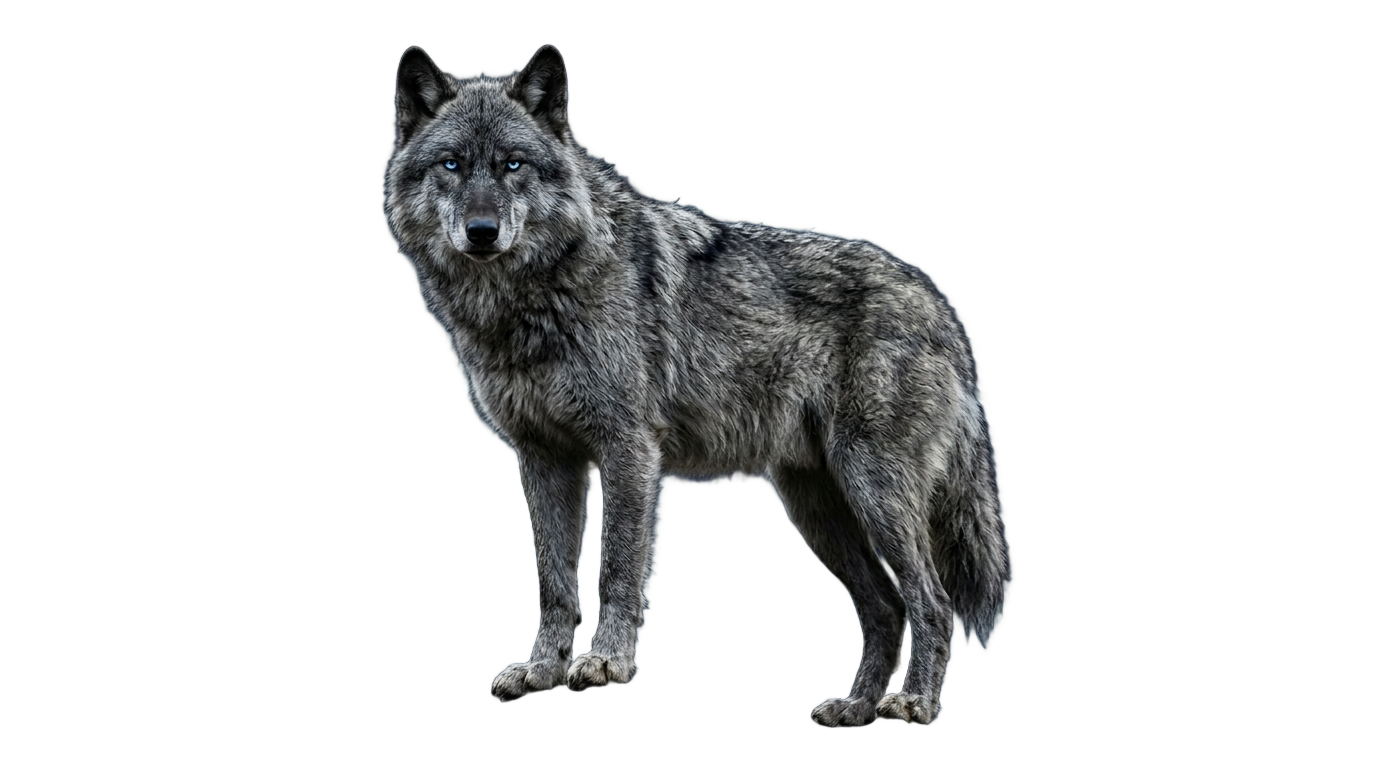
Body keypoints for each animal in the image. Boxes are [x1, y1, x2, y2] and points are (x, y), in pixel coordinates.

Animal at [383, 44, 1006, 726]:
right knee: (886, 607)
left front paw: (604, 664)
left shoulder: (628, 448)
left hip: (875, 494)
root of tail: (938, 307)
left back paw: (911, 702)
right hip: (818, 507)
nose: (482, 231)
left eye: (512, 165)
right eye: (452, 165)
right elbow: (552, 582)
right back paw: (854, 707)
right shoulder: (543, 457)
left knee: (930, 602)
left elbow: (615, 569)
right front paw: (541, 669)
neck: (530, 300)